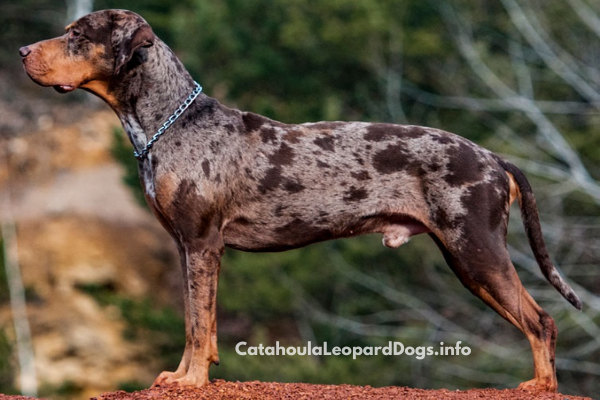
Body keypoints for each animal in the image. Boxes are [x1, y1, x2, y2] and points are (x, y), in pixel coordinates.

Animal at [19, 8, 580, 390]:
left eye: (77, 35)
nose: (22, 52)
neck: (168, 123)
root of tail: (494, 158)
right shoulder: (186, 249)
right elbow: (196, 322)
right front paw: (181, 376)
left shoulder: (202, 245)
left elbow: (199, 325)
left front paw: (192, 381)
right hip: (469, 259)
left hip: (475, 251)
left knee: (542, 321)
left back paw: (540, 387)